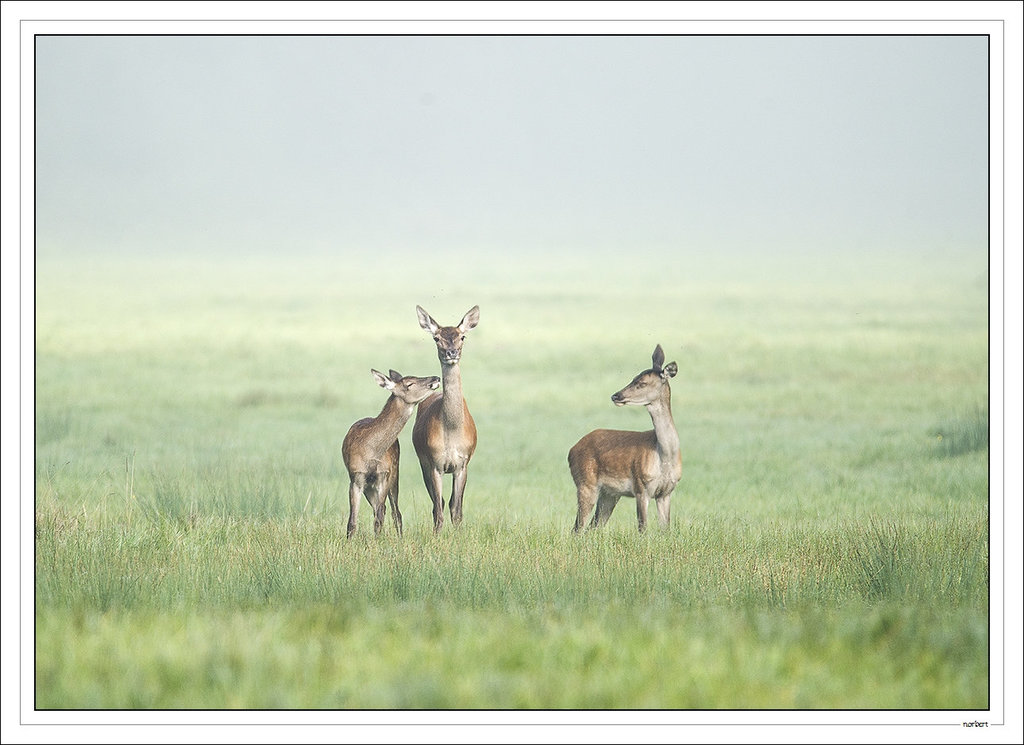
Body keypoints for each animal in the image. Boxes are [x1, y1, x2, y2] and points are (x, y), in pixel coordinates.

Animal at [344, 370, 440, 540]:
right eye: (409, 384)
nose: (436, 378)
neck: (371, 452)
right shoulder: (356, 477)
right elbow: (352, 522)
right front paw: (348, 543)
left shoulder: (384, 475)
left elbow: (379, 519)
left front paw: (376, 542)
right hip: (370, 487)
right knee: (381, 510)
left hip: (394, 473)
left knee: (394, 512)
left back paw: (400, 538)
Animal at [411, 304, 479, 532]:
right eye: (436, 338)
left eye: (462, 336)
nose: (452, 352)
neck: (452, 429)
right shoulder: (434, 463)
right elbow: (439, 509)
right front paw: (437, 535)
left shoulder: (463, 463)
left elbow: (456, 509)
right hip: (422, 463)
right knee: (436, 504)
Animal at [569, 345, 679, 532]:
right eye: (633, 378)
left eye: (642, 383)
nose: (616, 396)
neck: (664, 456)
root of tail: (571, 450)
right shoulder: (641, 487)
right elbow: (643, 528)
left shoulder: (666, 492)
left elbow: (666, 529)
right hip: (586, 482)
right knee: (577, 528)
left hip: (609, 493)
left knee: (593, 526)